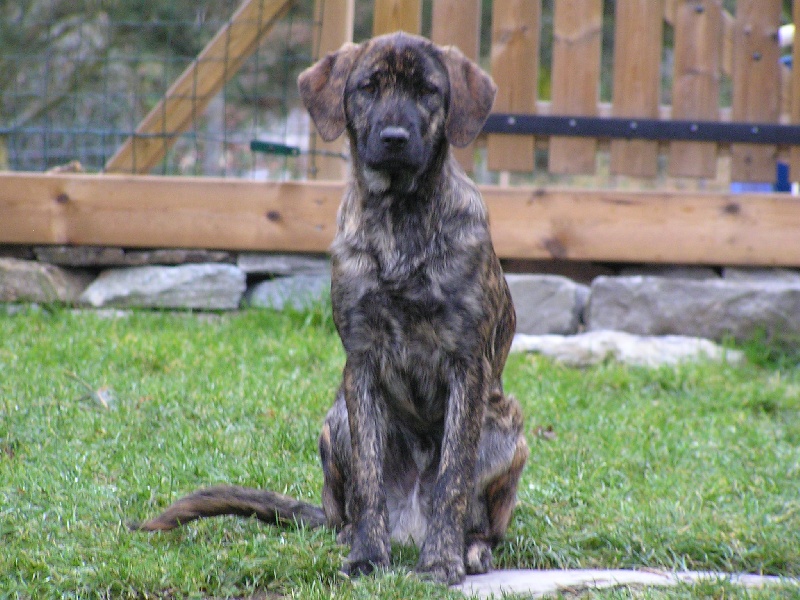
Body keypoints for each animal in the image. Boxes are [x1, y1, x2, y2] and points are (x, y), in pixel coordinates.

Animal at [135, 32, 528, 586]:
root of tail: (409, 521)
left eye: (428, 90)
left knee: (480, 517)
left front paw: (440, 561)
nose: (393, 137)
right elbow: (368, 477)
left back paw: (469, 546)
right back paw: (353, 535)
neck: (399, 218)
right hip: (336, 417)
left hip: (506, 427)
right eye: (368, 87)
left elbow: (452, 476)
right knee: (351, 507)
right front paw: (367, 555)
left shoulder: (467, 366)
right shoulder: (360, 362)